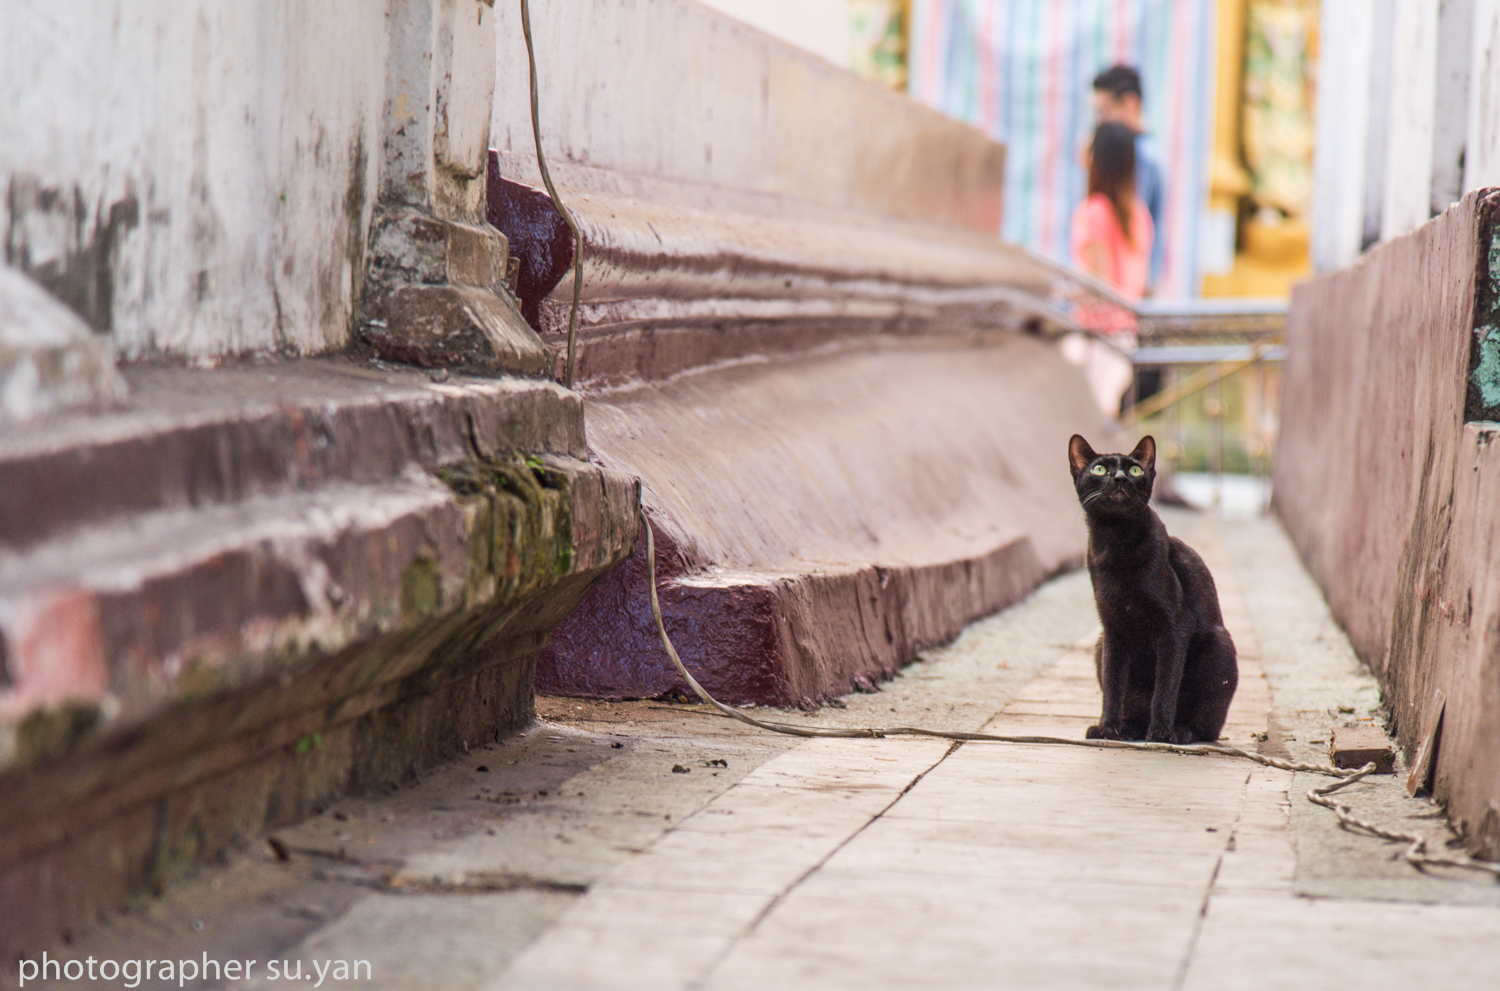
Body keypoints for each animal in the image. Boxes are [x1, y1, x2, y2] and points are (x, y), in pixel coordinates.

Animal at [1074, 431, 1236, 743]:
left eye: (1136, 470)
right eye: (1099, 469)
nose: (1120, 478)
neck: (1116, 544)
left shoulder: (1176, 625)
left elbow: (1166, 685)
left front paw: (1161, 731)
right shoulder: (1112, 628)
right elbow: (1113, 685)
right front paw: (1107, 728)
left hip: (1218, 645)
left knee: (1207, 728)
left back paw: (1180, 730)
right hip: (1099, 644)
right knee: (1132, 704)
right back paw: (1128, 728)